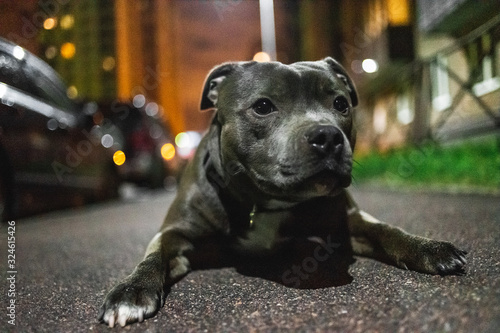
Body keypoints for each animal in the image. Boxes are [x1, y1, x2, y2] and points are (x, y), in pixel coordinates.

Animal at [99, 57, 466, 326]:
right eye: (263, 106)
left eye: (340, 103)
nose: (328, 136)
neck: (262, 203)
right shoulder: (176, 233)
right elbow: (154, 255)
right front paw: (130, 292)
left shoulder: (348, 220)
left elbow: (386, 230)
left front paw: (428, 248)